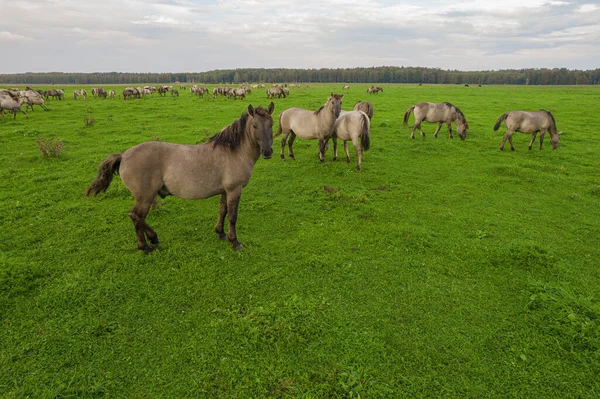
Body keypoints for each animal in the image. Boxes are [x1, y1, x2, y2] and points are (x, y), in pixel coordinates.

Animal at [85, 103, 276, 253]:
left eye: (271, 124)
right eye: (254, 126)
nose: (267, 151)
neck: (233, 151)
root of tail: (124, 155)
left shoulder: (225, 191)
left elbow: (222, 211)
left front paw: (220, 233)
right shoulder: (234, 190)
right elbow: (233, 216)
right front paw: (235, 242)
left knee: (139, 218)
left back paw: (153, 238)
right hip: (145, 197)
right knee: (136, 216)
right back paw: (145, 246)